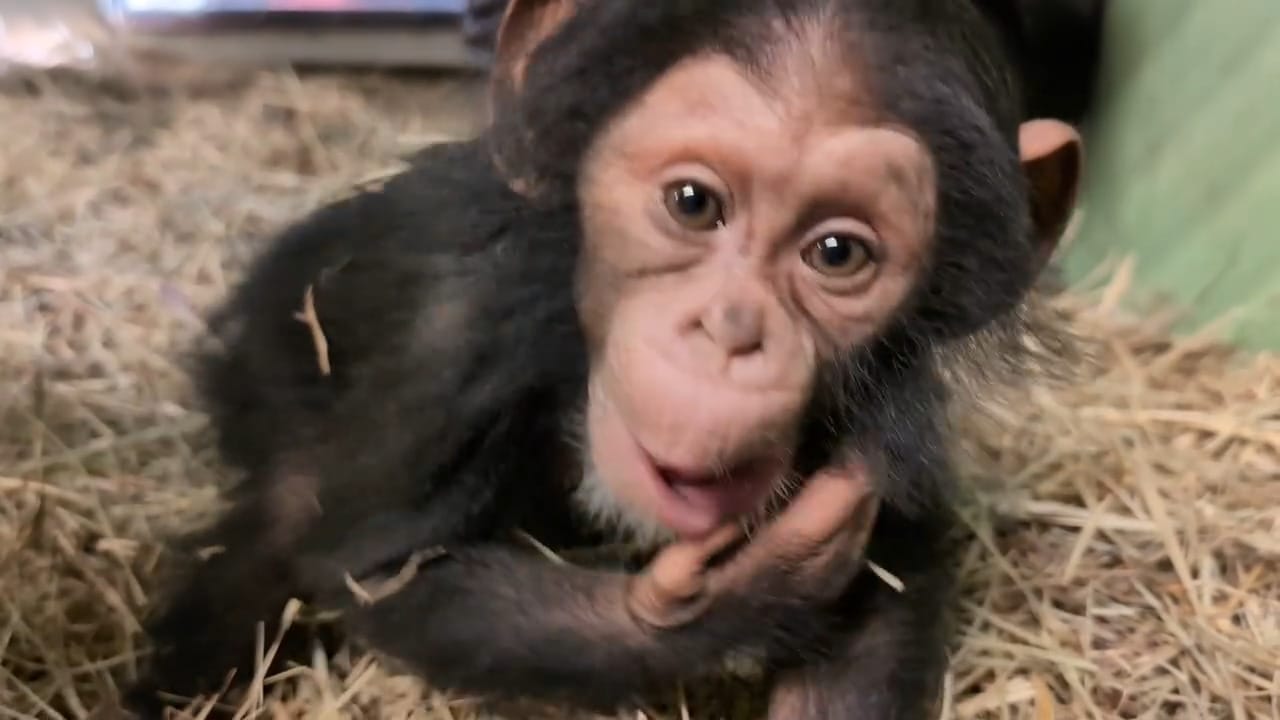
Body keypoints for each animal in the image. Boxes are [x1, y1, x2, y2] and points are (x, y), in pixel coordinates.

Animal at [126, 1, 1100, 718]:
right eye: (693, 203)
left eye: (836, 253)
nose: (731, 330)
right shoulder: (456, 327)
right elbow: (379, 568)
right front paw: (729, 595)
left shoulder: (899, 401)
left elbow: (884, 604)